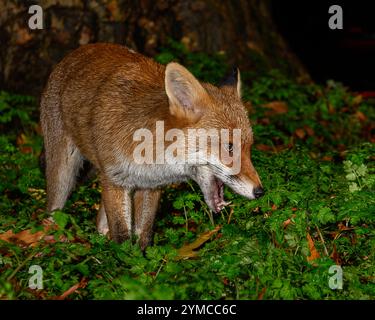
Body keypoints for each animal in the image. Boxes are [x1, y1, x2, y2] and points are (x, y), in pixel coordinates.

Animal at [40, 42, 264, 249]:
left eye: (249, 147)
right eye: (229, 147)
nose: (260, 192)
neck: (149, 151)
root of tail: (80, 50)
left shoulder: (151, 185)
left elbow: (144, 234)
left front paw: (141, 257)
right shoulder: (114, 179)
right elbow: (122, 237)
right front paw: (123, 262)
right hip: (63, 171)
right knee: (54, 209)